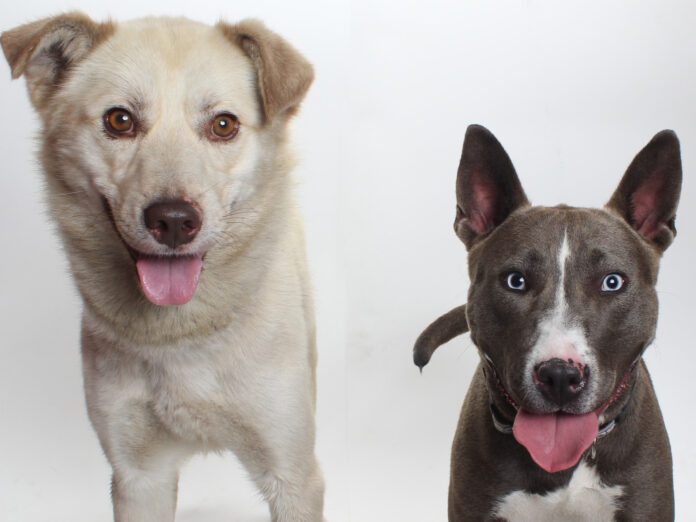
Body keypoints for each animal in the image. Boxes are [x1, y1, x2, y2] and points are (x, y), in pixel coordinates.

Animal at [2, 13, 324, 521]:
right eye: (119, 120)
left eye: (224, 125)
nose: (173, 221)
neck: (183, 335)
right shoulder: (139, 475)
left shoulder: (293, 476)